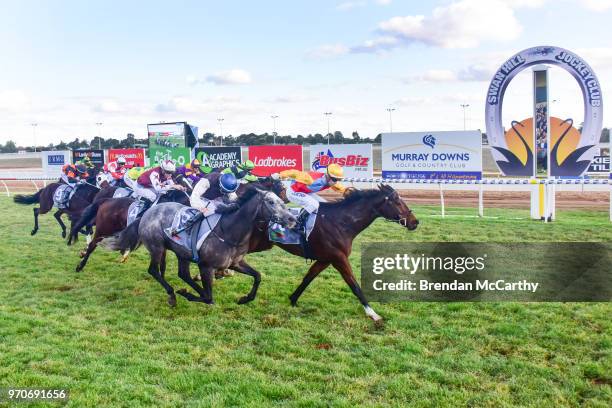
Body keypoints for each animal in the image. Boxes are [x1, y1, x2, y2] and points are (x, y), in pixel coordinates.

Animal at [101, 185, 296, 306]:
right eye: (271, 202)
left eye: (281, 200)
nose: (292, 219)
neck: (229, 232)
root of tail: (148, 212)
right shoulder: (206, 266)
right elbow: (210, 298)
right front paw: (185, 293)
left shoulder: (235, 263)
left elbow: (258, 276)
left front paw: (245, 299)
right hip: (157, 247)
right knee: (154, 270)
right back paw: (173, 294)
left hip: (181, 252)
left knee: (183, 274)